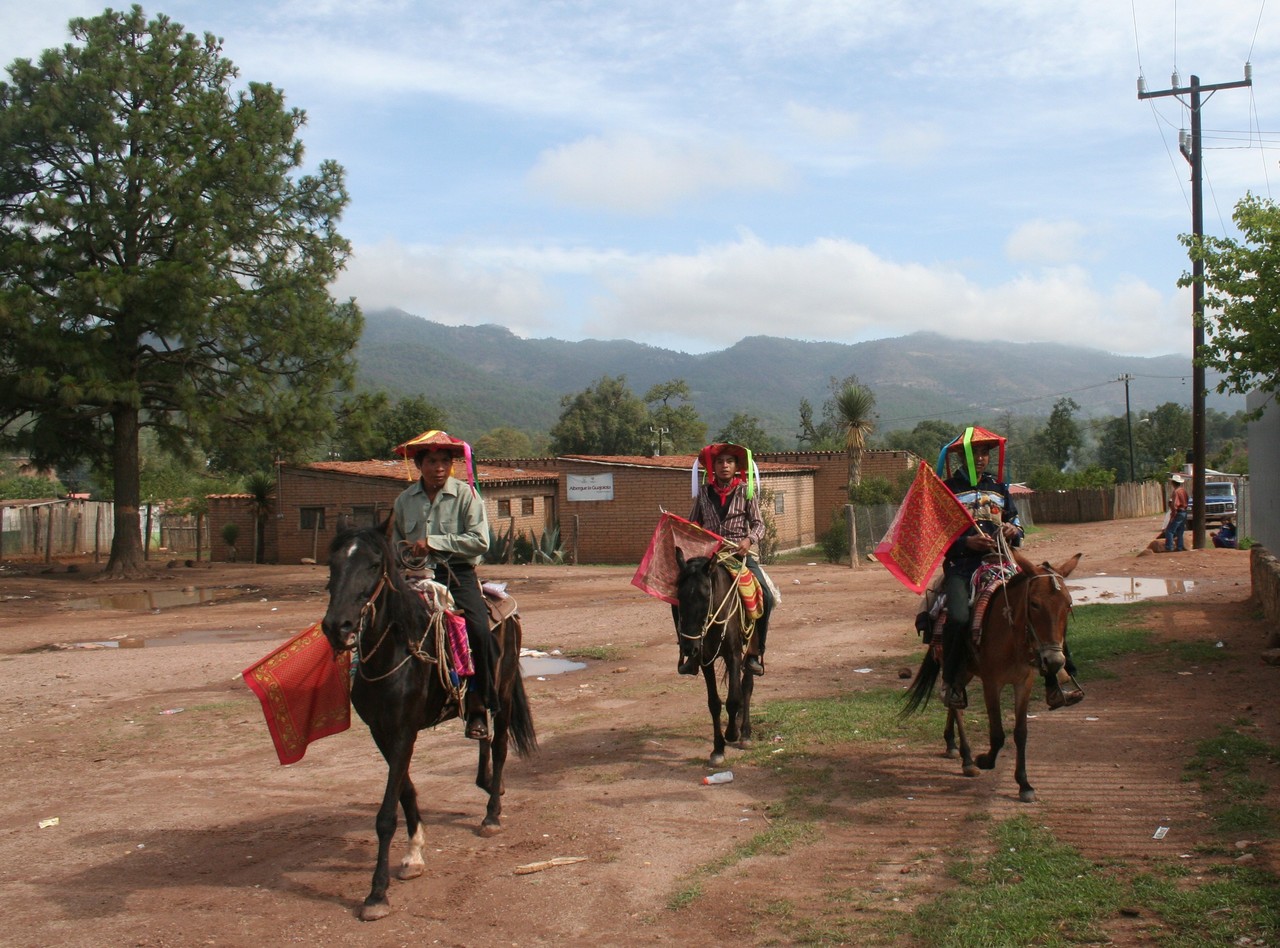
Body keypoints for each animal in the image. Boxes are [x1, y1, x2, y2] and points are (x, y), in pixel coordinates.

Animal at [325, 524, 540, 916]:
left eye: (374, 564)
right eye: (332, 563)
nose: (337, 626)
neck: (395, 652)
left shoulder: (403, 732)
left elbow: (386, 815)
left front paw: (377, 893)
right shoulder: (382, 733)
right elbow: (406, 791)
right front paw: (414, 854)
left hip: (502, 695)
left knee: (500, 746)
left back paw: (492, 814)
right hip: (478, 701)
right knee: (482, 733)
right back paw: (489, 780)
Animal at [675, 550, 752, 767]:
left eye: (706, 595)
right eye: (679, 596)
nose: (688, 647)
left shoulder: (733, 655)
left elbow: (733, 699)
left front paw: (732, 733)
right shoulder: (705, 660)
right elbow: (714, 703)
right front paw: (718, 748)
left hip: (750, 649)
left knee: (747, 684)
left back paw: (745, 733)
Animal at [901, 550, 1080, 803]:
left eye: (1068, 604)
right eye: (1034, 604)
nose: (1054, 662)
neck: (1011, 637)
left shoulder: (1024, 682)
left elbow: (1021, 733)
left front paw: (1024, 784)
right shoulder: (991, 684)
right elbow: (997, 733)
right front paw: (984, 760)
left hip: (965, 671)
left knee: (951, 700)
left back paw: (951, 744)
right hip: (953, 664)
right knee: (954, 704)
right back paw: (967, 759)